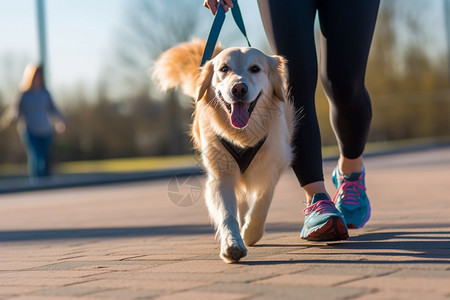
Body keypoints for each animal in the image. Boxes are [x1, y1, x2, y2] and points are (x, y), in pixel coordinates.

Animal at [153, 39, 298, 262]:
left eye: (255, 69)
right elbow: (226, 213)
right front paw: (232, 244)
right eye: (224, 69)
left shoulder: (274, 166)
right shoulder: (221, 175)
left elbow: (262, 202)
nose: (238, 88)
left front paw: (251, 232)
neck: (243, 136)